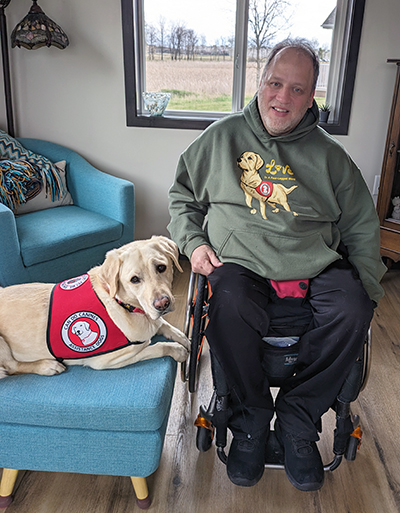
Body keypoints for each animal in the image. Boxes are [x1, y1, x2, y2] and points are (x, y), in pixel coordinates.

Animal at [0, 235, 190, 376]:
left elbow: (166, 326)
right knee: (11, 366)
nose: (162, 304)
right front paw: (178, 350)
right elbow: (157, 347)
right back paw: (47, 366)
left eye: (161, 267)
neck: (123, 304)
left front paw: (184, 339)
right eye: (134, 279)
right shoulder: (109, 360)